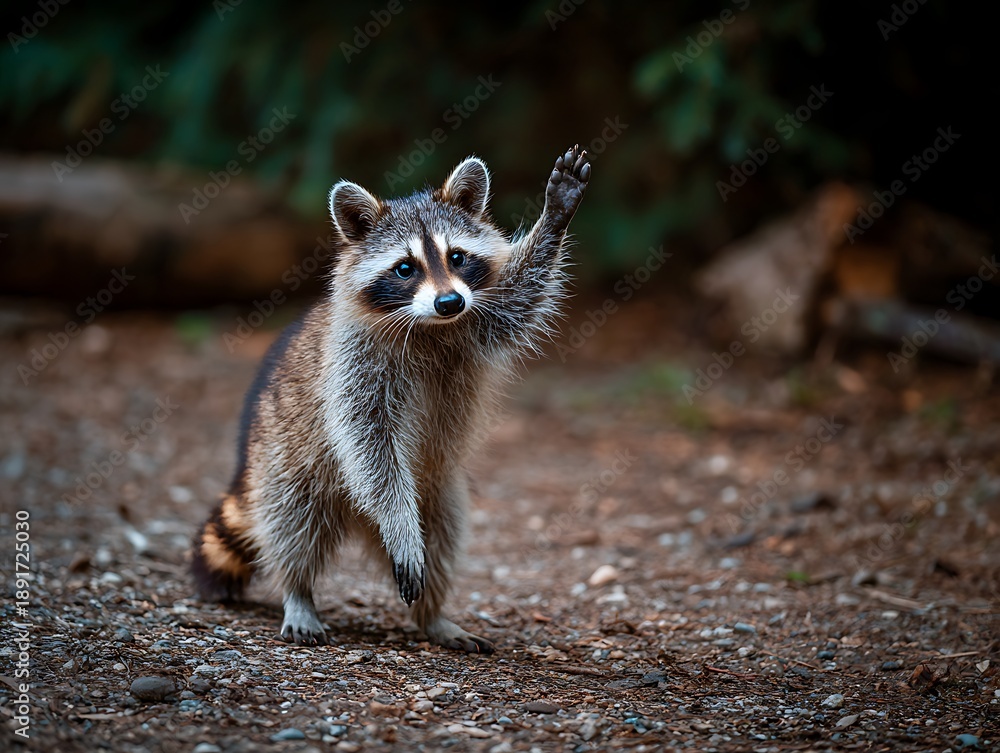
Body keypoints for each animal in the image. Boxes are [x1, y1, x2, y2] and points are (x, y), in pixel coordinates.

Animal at [191, 145, 590, 652]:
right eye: (405, 268)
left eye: (457, 257)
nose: (449, 302)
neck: (430, 325)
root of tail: (361, 520)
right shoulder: (353, 362)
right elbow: (367, 438)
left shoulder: (478, 317)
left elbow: (521, 296)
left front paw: (555, 216)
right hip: (287, 463)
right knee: (293, 526)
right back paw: (299, 591)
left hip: (437, 489)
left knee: (442, 536)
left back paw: (432, 615)